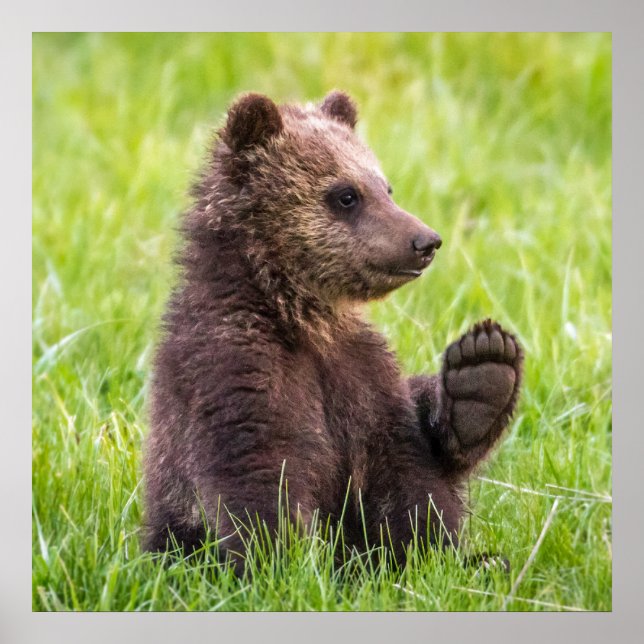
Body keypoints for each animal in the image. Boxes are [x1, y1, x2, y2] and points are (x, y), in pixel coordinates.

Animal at [143, 90, 523, 571]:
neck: (302, 317)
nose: (426, 241)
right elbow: (259, 468)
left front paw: (482, 373)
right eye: (346, 195)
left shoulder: (361, 373)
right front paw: (283, 560)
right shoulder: (234, 363)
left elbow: (408, 473)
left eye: (386, 187)